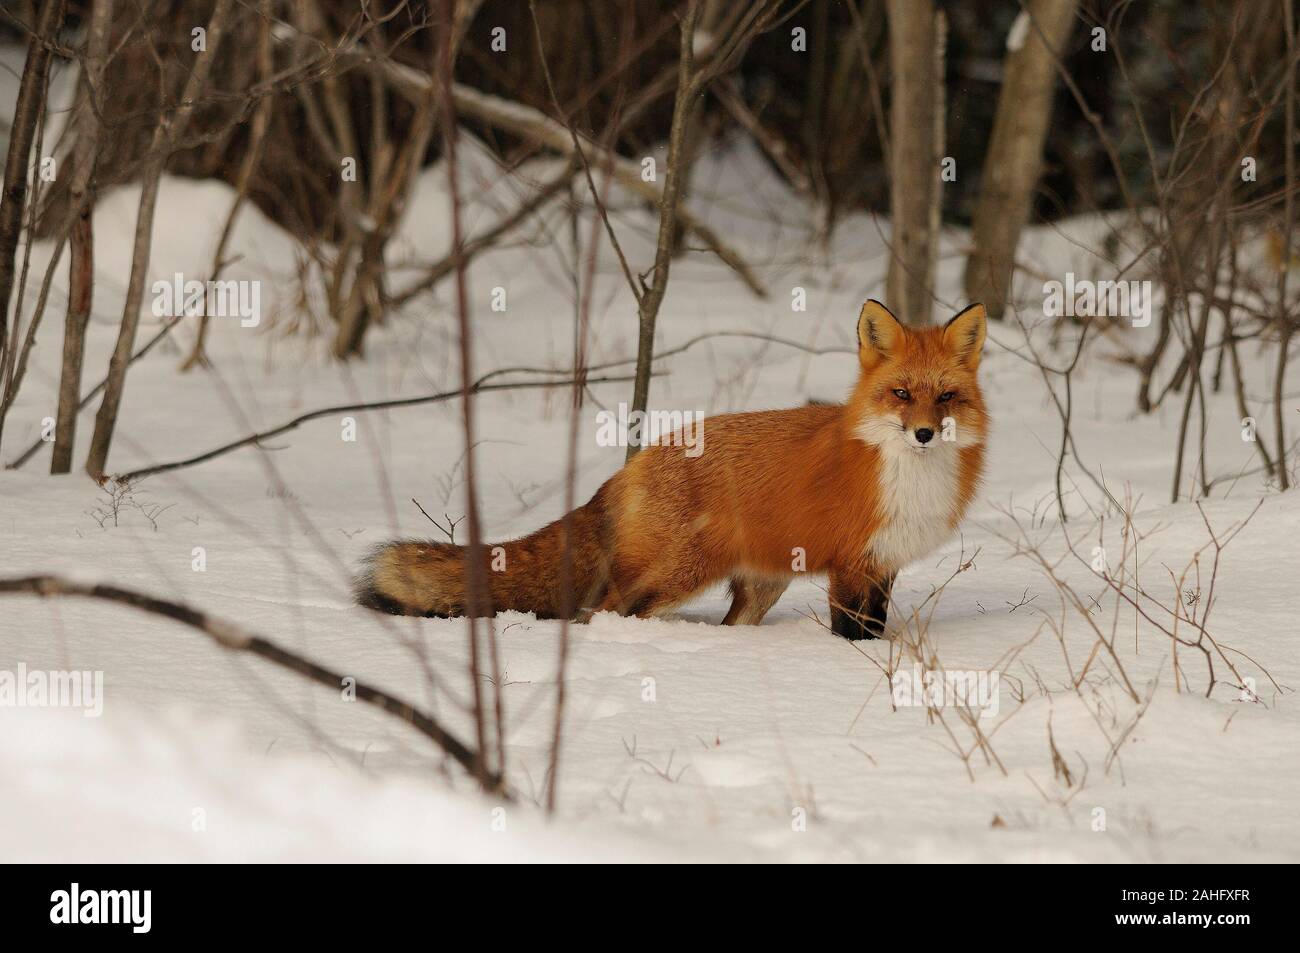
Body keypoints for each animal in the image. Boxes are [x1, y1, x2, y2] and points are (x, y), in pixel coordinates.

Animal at [356, 299, 988, 640]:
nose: (924, 433)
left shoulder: (883, 563)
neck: (903, 475)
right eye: (901, 394)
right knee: (599, 613)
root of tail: (631, 466)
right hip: (678, 574)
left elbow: (875, 627)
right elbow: (853, 635)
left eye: (946, 397)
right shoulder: (851, 565)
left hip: (761, 584)